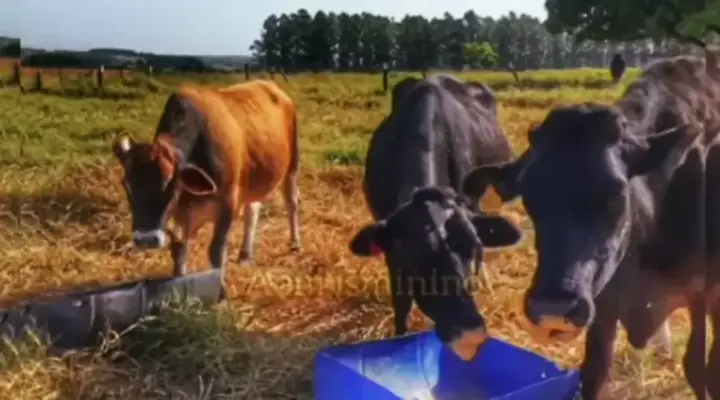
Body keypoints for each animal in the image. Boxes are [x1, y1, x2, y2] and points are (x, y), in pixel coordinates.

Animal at [112, 79, 301, 277]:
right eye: (126, 185)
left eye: (170, 183)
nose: (146, 239)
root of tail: (272, 86)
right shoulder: (181, 215)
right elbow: (180, 252)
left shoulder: (228, 205)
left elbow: (216, 252)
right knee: (253, 209)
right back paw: (245, 254)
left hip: (292, 165)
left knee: (292, 202)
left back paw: (295, 244)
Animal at [461, 51, 720, 399]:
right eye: (529, 195)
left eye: (617, 192)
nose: (553, 308)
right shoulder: (602, 300)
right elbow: (594, 373)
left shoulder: (708, 294)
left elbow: (704, 371)